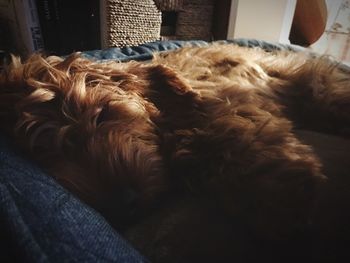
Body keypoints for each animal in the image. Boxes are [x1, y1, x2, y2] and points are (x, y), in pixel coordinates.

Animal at [0, 44, 348, 262]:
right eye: (46, 155)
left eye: (103, 114)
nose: (124, 203)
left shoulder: (222, 99)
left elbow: (222, 129)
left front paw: (279, 196)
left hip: (315, 83)